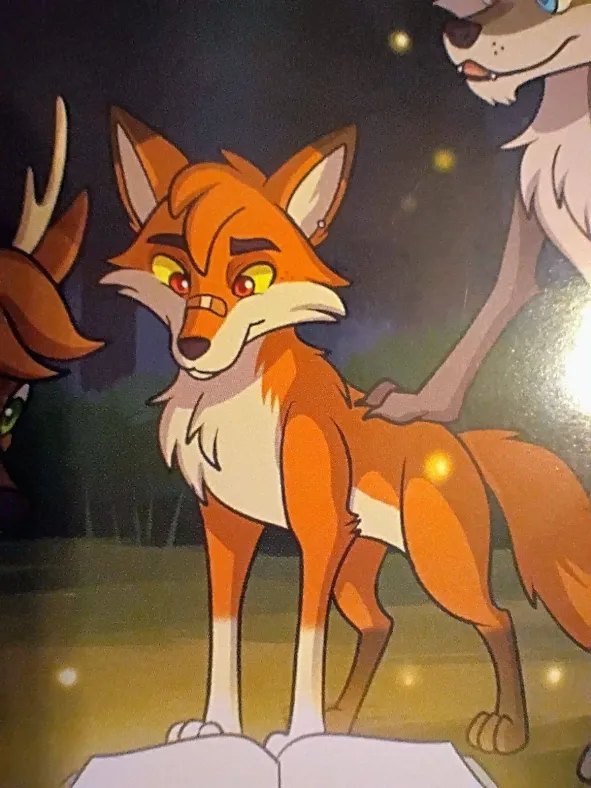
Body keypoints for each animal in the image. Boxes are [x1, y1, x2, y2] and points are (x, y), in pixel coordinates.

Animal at [102, 107, 591, 761]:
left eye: (252, 281)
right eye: (174, 277)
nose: (193, 346)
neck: (234, 409)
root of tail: (456, 441)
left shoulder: (319, 531)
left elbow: (309, 639)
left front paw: (299, 736)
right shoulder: (227, 526)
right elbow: (223, 629)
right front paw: (219, 729)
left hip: (441, 568)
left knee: (499, 619)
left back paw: (506, 727)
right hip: (357, 574)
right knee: (382, 624)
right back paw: (343, 720)